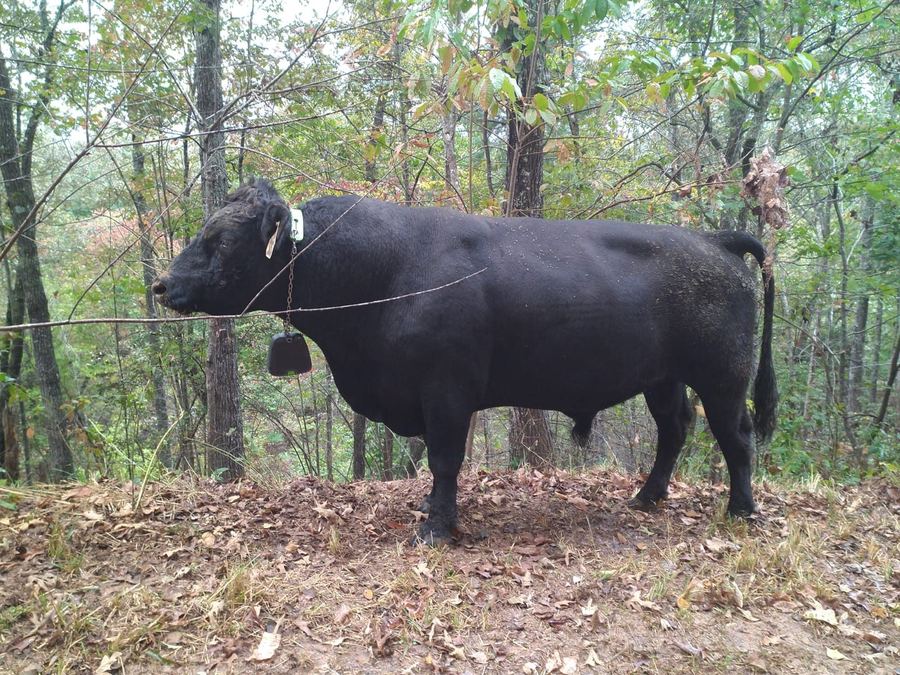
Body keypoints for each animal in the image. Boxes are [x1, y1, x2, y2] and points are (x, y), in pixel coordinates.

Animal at [153, 178, 777, 545]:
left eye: (221, 240)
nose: (161, 284)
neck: (383, 271)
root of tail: (715, 241)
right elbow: (437, 464)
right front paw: (433, 512)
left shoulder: (446, 390)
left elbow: (445, 460)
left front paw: (436, 527)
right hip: (663, 378)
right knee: (676, 429)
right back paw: (647, 497)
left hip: (722, 375)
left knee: (736, 436)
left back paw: (740, 510)